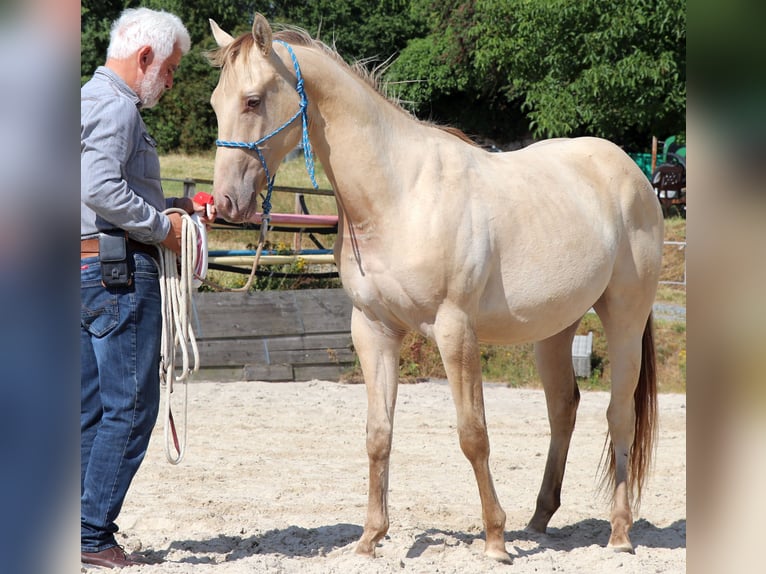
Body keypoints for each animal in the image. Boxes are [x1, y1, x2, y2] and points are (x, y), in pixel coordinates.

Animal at [206, 14, 664, 563]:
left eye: (253, 100)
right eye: (215, 103)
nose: (225, 203)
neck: (400, 196)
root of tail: (633, 173)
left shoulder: (455, 330)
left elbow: (473, 434)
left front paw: (495, 540)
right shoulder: (374, 330)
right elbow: (378, 434)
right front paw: (370, 537)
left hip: (624, 317)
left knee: (619, 414)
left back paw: (619, 532)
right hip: (555, 328)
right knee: (563, 409)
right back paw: (539, 519)